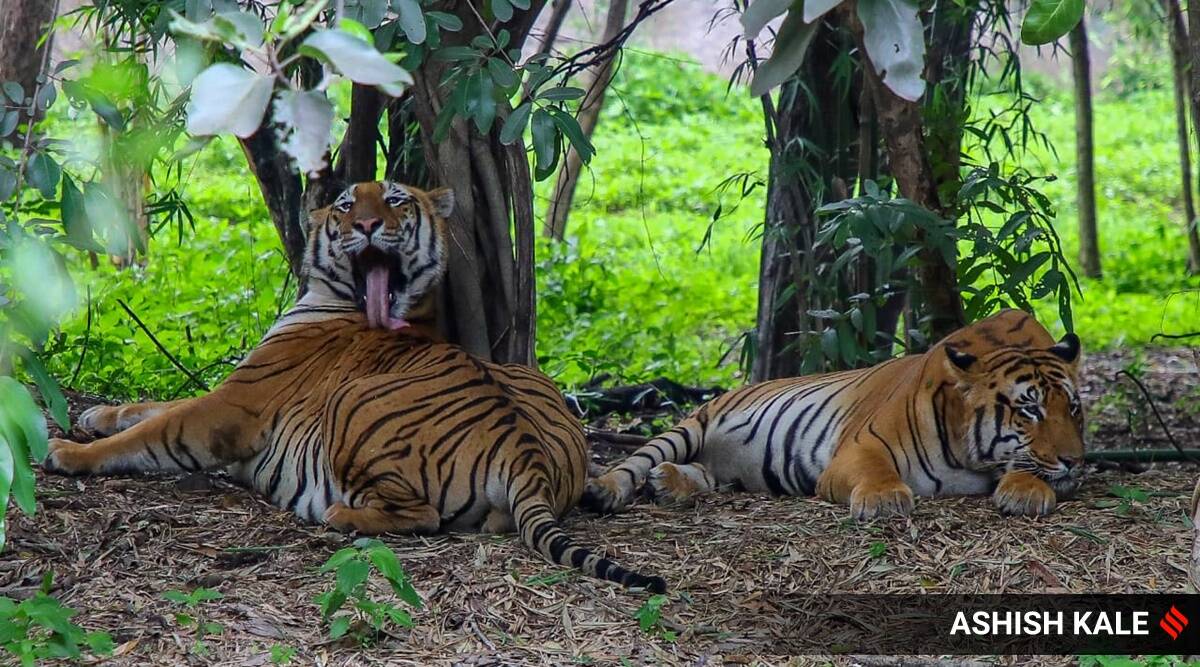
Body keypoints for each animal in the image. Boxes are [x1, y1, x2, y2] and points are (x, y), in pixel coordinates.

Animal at [45, 180, 665, 593]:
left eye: (395, 201)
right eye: (346, 205)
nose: (365, 226)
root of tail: (526, 450)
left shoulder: (234, 406)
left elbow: (155, 430)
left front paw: (69, 452)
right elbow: (154, 405)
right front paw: (97, 415)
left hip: (352, 404)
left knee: (422, 516)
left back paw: (341, 516)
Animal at [583, 309, 1085, 520]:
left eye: (1073, 409)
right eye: (1030, 409)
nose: (1075, 461)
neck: (968, 457)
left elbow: (1026, 470)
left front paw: (1026, 492)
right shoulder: (859, 448)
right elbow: (877, 473)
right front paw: (884, 500)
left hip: (724, 471)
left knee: (706, 475)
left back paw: (669, 483)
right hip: (689, 426)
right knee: (633, 462)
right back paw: (605, 490)